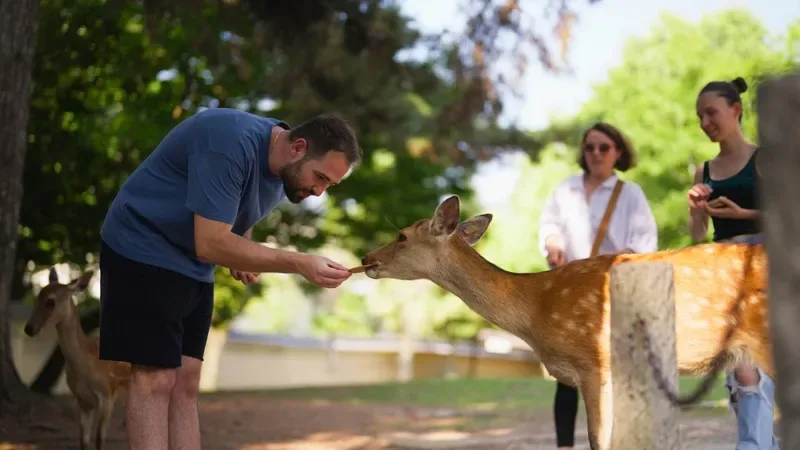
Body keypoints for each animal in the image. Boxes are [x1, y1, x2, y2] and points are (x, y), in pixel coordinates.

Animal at [24, 267, 131, 450]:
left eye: (50, 301)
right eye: (37, 297)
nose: (29, 329)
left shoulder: (107, 395)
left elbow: (99, 440)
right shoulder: (82, 401)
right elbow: (83, 440)